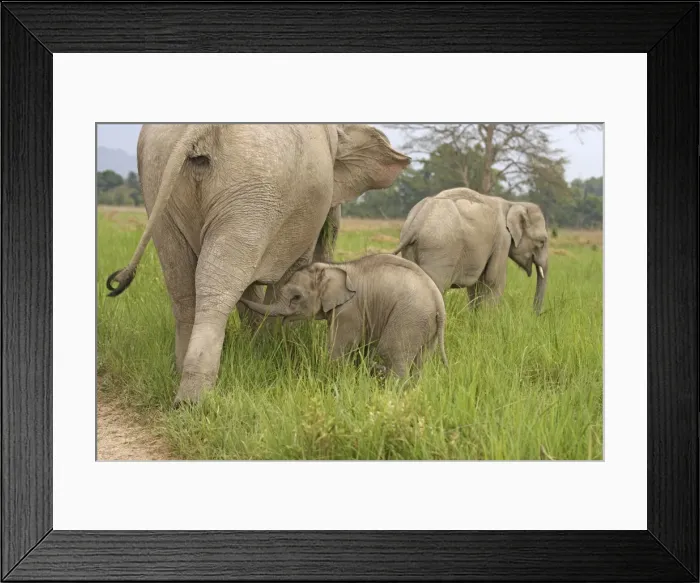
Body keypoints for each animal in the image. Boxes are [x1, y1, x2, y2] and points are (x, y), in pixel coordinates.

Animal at [105, 124, 410, 404]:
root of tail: (200, 128)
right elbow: (288, 275)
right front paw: (276, 350)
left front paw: (257, 349)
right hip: (253, 188)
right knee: (219, 282)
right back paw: (195, 399)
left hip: (160, 179)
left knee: (182, 281)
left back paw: (180, 379)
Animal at [239, 254, 449, 379]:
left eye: (296, 297)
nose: (240, 298)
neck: (332, 268)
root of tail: (438, 301)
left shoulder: (349, 310)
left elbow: (339, 347)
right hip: (425, 325)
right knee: (420, 360)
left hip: (409, 317)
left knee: (391, 352)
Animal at [391, 188, 549, 313]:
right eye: (542, 241)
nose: (535, 315)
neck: (512, 204)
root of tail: (417, 221)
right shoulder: (502, 239)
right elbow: (494, 280)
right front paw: (487, 320)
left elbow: (476, 284)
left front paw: (475, 318)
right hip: (438, 249)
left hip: (413, 248)